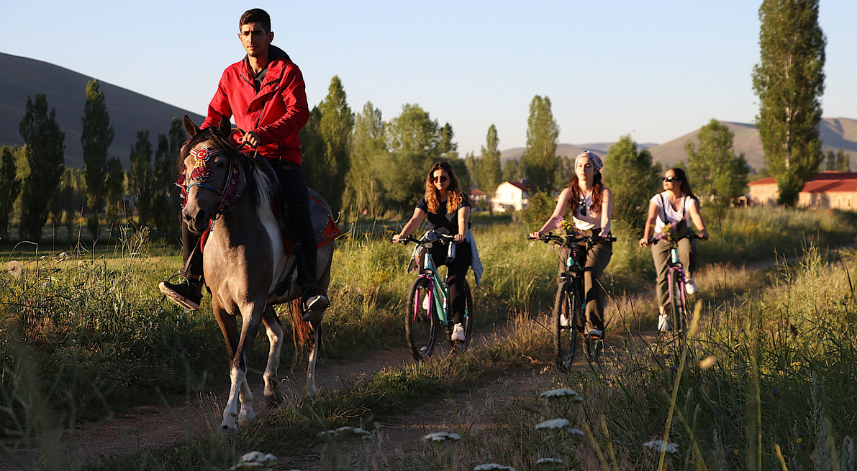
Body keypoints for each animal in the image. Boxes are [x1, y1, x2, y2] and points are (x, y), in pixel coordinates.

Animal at [177, 116, 334, 434]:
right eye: (186, 164)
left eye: (220, 163)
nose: (192, 215)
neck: (232, 242)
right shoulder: (223, 308)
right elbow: (234, 356)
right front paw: (247, 409)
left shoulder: (251, 304)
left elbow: (239, 361)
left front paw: (229, 419)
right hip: (268, 300)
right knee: (277, 332)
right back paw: (271, 388)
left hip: (316, 290)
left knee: (313, 336)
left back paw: (310, 393)